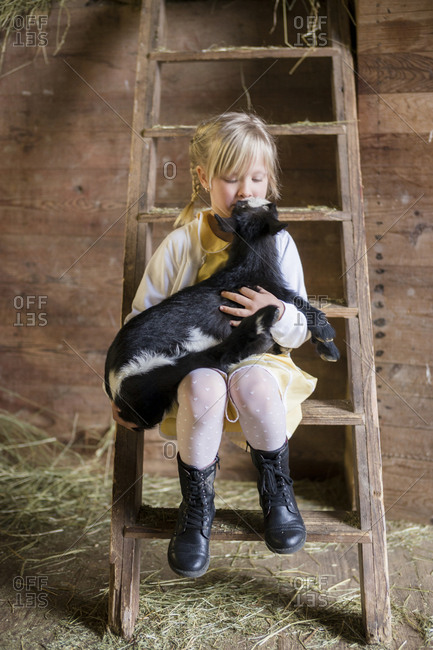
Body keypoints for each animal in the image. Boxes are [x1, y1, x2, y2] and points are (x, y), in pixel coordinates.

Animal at [104, 198, 339, 431]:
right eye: (269, 207)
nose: (244, 199)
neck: (249, 267)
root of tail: (114, 388)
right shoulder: (273, 291)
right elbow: (302, 306)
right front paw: (327, 341)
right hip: (150, 372)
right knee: (212, 357)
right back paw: (259, 329)